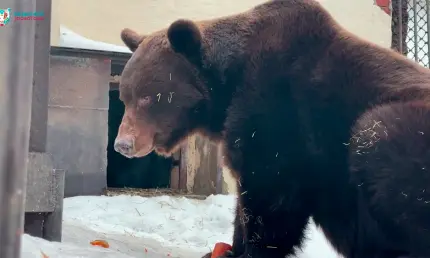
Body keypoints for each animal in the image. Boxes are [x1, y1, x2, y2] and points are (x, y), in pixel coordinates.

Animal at [113, 0, 430, 258]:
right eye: (125, 96)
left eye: (147, 97)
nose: (123, 144)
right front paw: (229, 248)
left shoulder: (278, 109)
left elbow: (272, 192)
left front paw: (253, 250)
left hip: (396, 130)